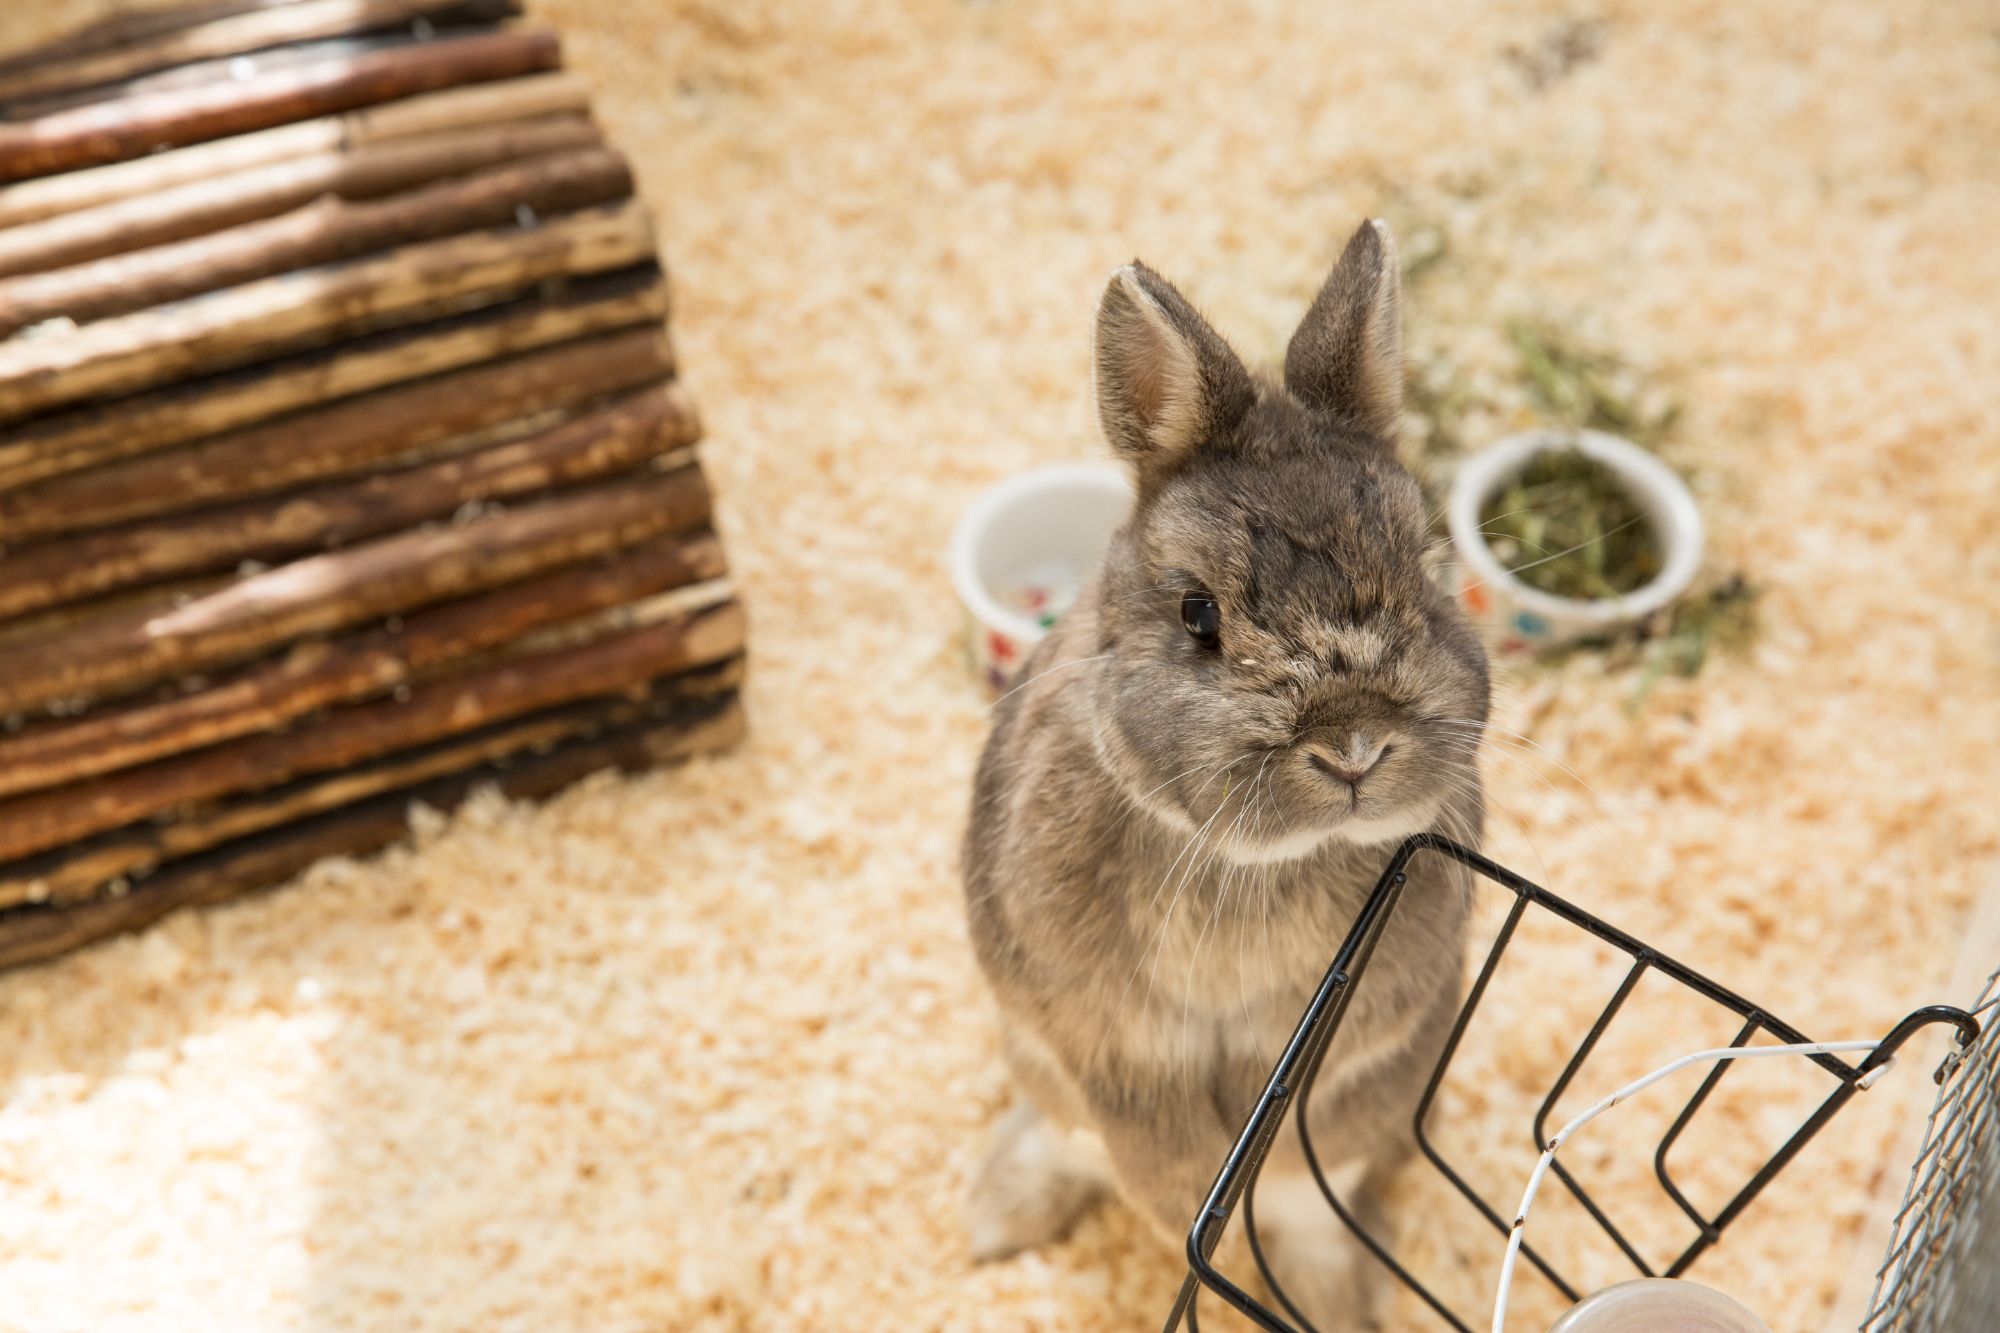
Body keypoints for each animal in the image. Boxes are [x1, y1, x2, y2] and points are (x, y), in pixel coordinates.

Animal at [960, 218, 1496, 1320]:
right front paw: (1180, 1203)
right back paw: (996, 1220)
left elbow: (1282, 1122)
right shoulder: (1107, 1038)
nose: (1352, 743)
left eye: (1424, 565)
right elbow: (1151, 1131)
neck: (1257, 862)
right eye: (1196, 613)